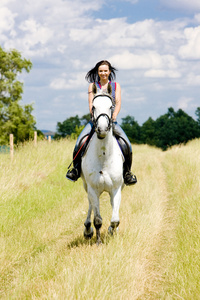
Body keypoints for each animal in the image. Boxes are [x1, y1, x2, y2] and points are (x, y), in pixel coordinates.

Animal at [81, 84, 123, 244]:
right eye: (93, 107)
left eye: (111, 106)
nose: (102, 129)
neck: (104, 156)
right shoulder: (93, 188)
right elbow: (97, 219)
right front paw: (98, 241)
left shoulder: (116, 188)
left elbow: (115, 219)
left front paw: (112, 230)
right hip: (87, 186)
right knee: (90, 204)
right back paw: (87, 229)